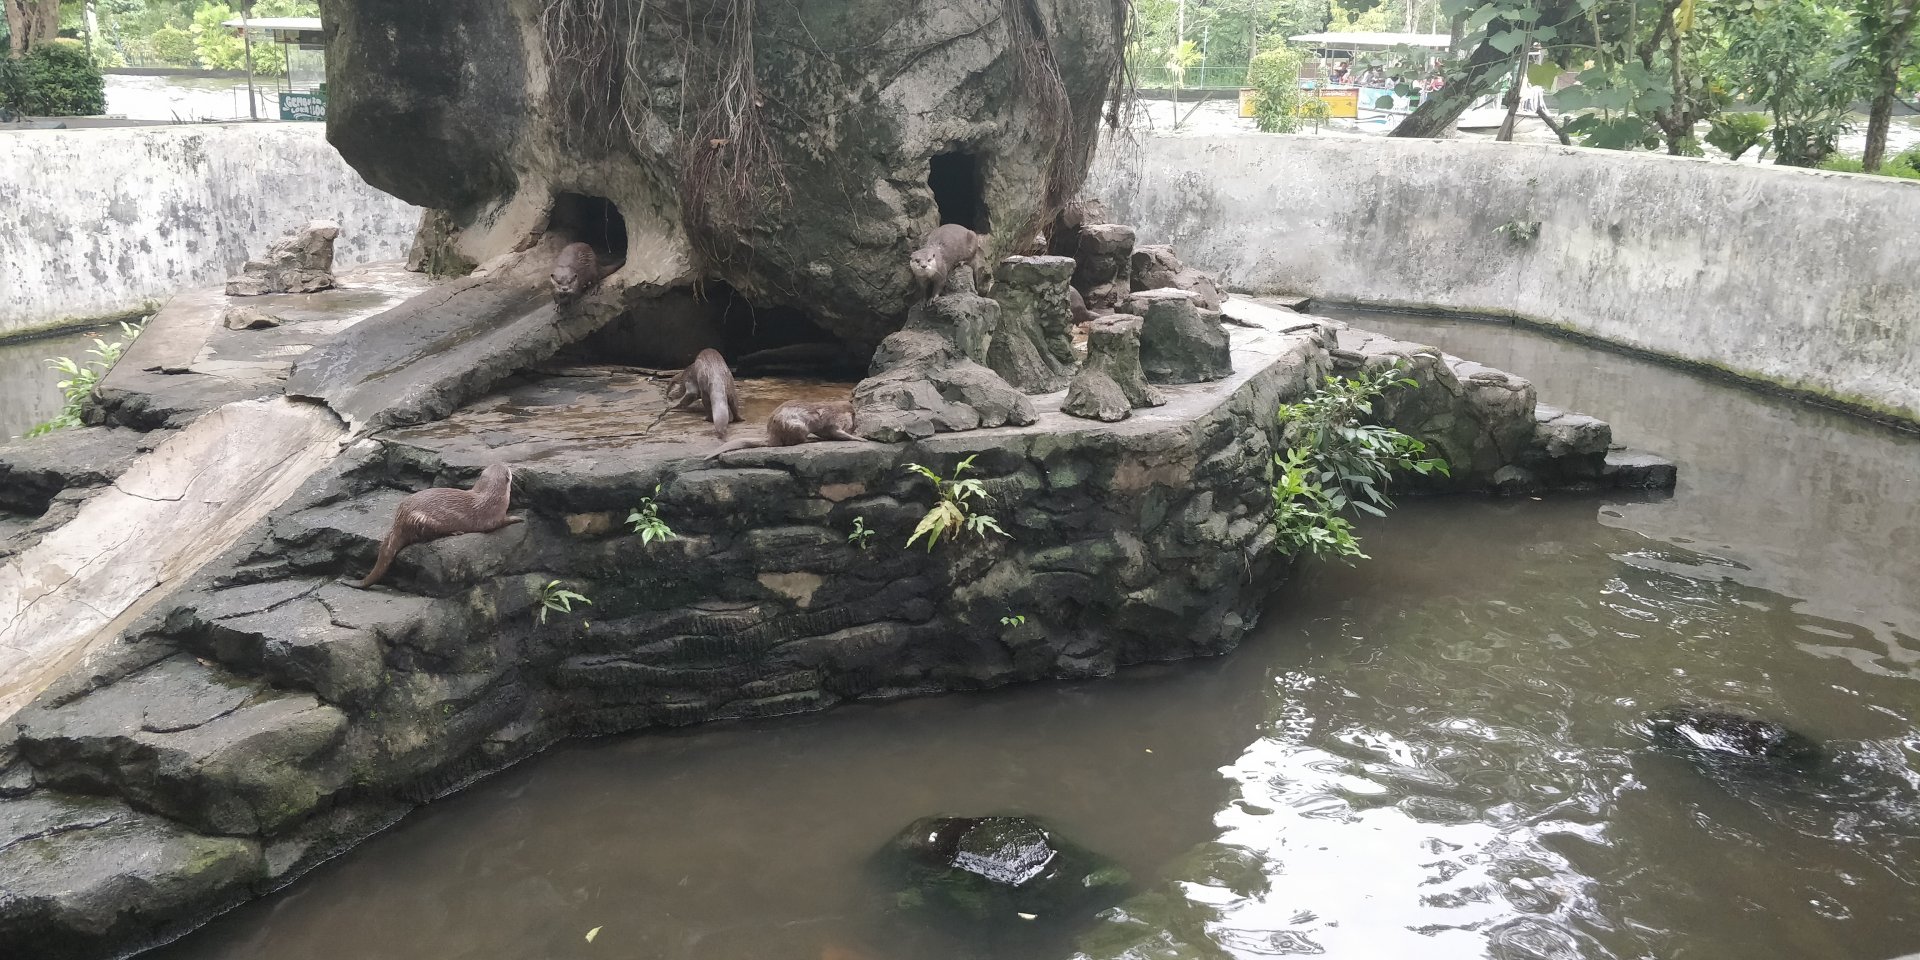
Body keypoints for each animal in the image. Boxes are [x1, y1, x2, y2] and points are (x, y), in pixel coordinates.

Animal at [356, 463, 521, 588]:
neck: (491, 496)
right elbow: (501, 523)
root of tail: (399, 519)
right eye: (507, 467)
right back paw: (455, 532)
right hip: (421, 520)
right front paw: (517, 518)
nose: (510, 466)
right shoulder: (494, 517)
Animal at [706, 399, 862, 458]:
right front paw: (860, 438)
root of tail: (772, 435)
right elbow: (838, 432)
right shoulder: (835, 422)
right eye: (854, 422)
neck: (836, 411)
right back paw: (810, 440)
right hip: (797, 426)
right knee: (793, 442)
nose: (855, 427)